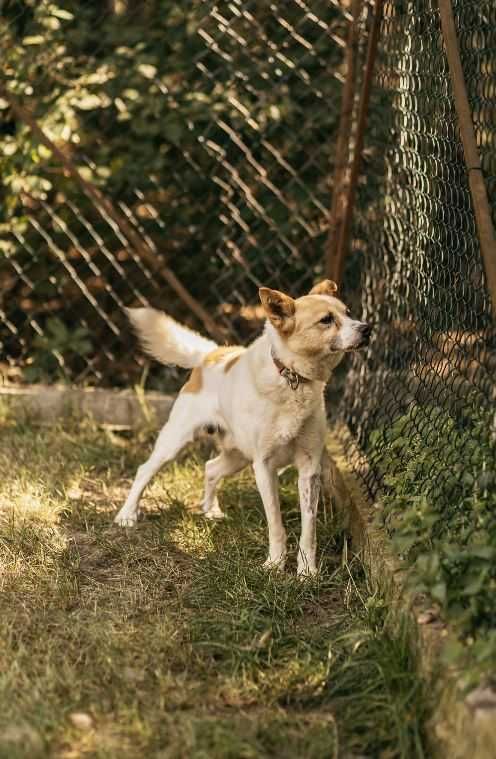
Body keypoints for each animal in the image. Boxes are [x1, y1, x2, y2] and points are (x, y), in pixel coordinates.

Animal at [115, 280, 372, 576]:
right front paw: (274, 564)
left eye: (348, 312)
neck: (292, 379)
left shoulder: (309, 468)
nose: (367, 328)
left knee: (210, 468)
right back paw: (127, 515)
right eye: (326, 320)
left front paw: (307, 571)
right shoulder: (264, 467)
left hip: (237, 457)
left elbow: (309, 528)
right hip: (174, 442)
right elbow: (276, 524)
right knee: (144, 470)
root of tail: (213, 354)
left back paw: (211, 510)